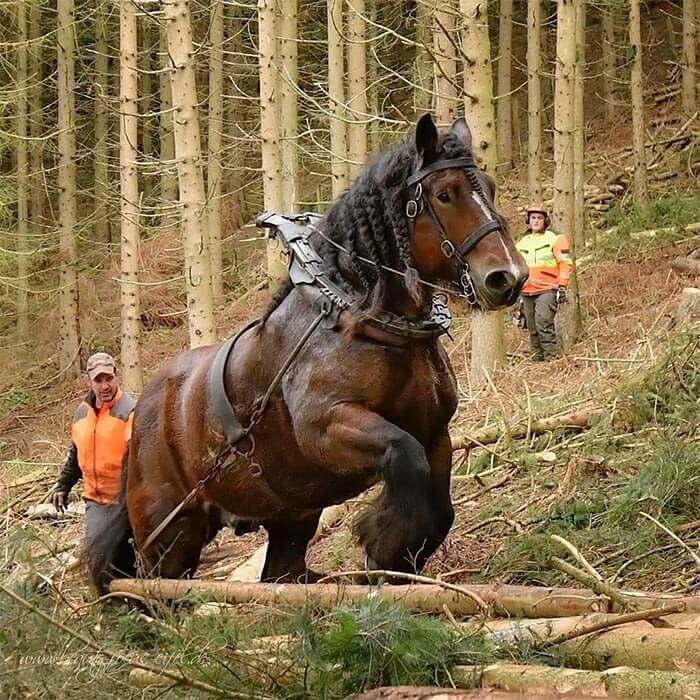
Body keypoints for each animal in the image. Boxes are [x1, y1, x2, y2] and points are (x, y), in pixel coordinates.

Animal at [87, 114, 528, 593]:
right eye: (445, 194)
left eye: (490, 187)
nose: (509, 277)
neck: (361, 318)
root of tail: (140, 413)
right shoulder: (327, 426)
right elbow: (404, 458)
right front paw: (380, 539)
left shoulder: (435, 433)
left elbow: (438, 511)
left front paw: (391, 559)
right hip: (170, 535)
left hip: (290, 519)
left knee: (280, 573)